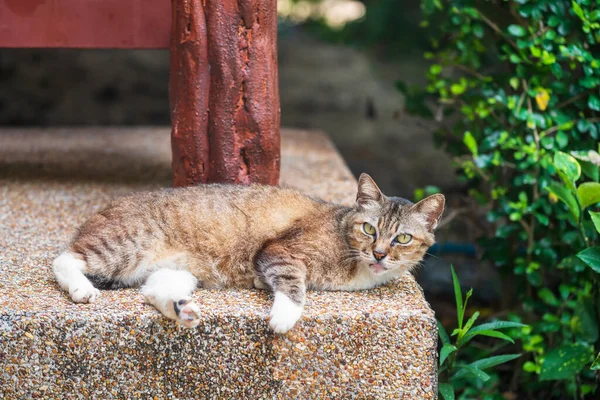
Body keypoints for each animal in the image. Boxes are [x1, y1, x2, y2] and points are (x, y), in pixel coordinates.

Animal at [52, 173, 446, 332]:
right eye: (369, 229)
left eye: (403, 238)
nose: (379, 254)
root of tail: (104, 208)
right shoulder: (280, 251)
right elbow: (293, 285)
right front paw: (284, 316)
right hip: (126, 244)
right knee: (63, 258)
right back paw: (82, 288)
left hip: (176, 271)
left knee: (153, 291)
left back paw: (182, 309)